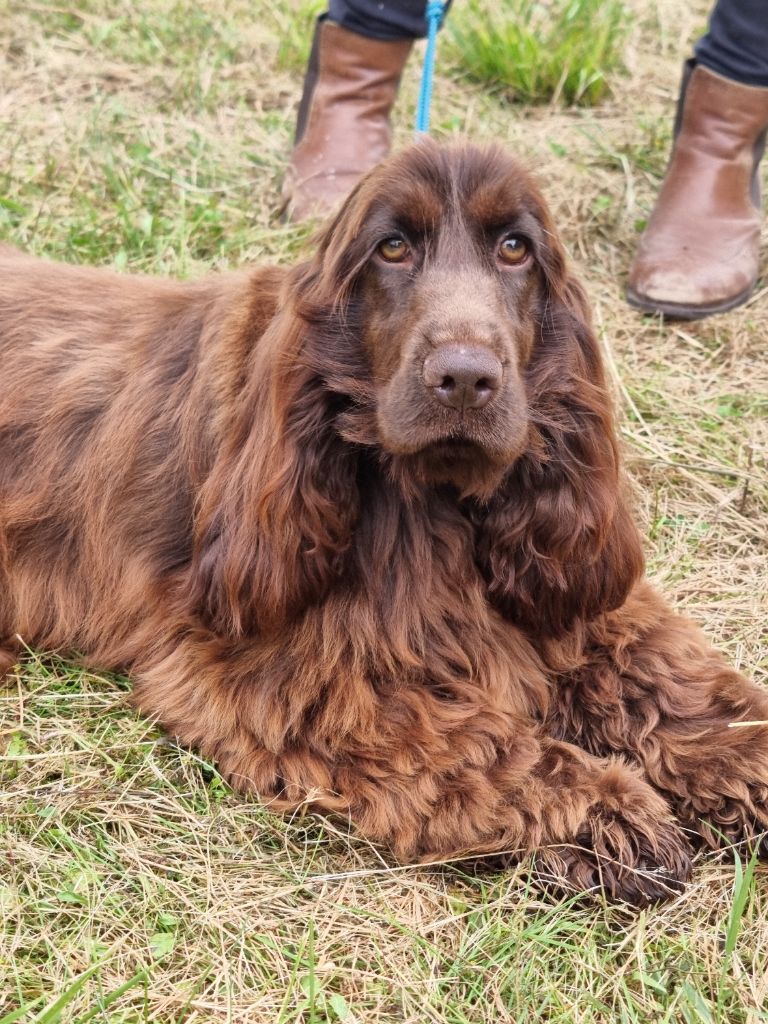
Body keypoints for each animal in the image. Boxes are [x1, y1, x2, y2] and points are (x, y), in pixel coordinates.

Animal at [1, 138, 768, 905]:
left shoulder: (568, 587)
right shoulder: (290, 678)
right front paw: (609, 814)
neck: (434, 497)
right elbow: (480, 744)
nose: (466, 379)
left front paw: (744, 756)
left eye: (515, 248)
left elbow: (665, 673)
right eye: (392, 247)